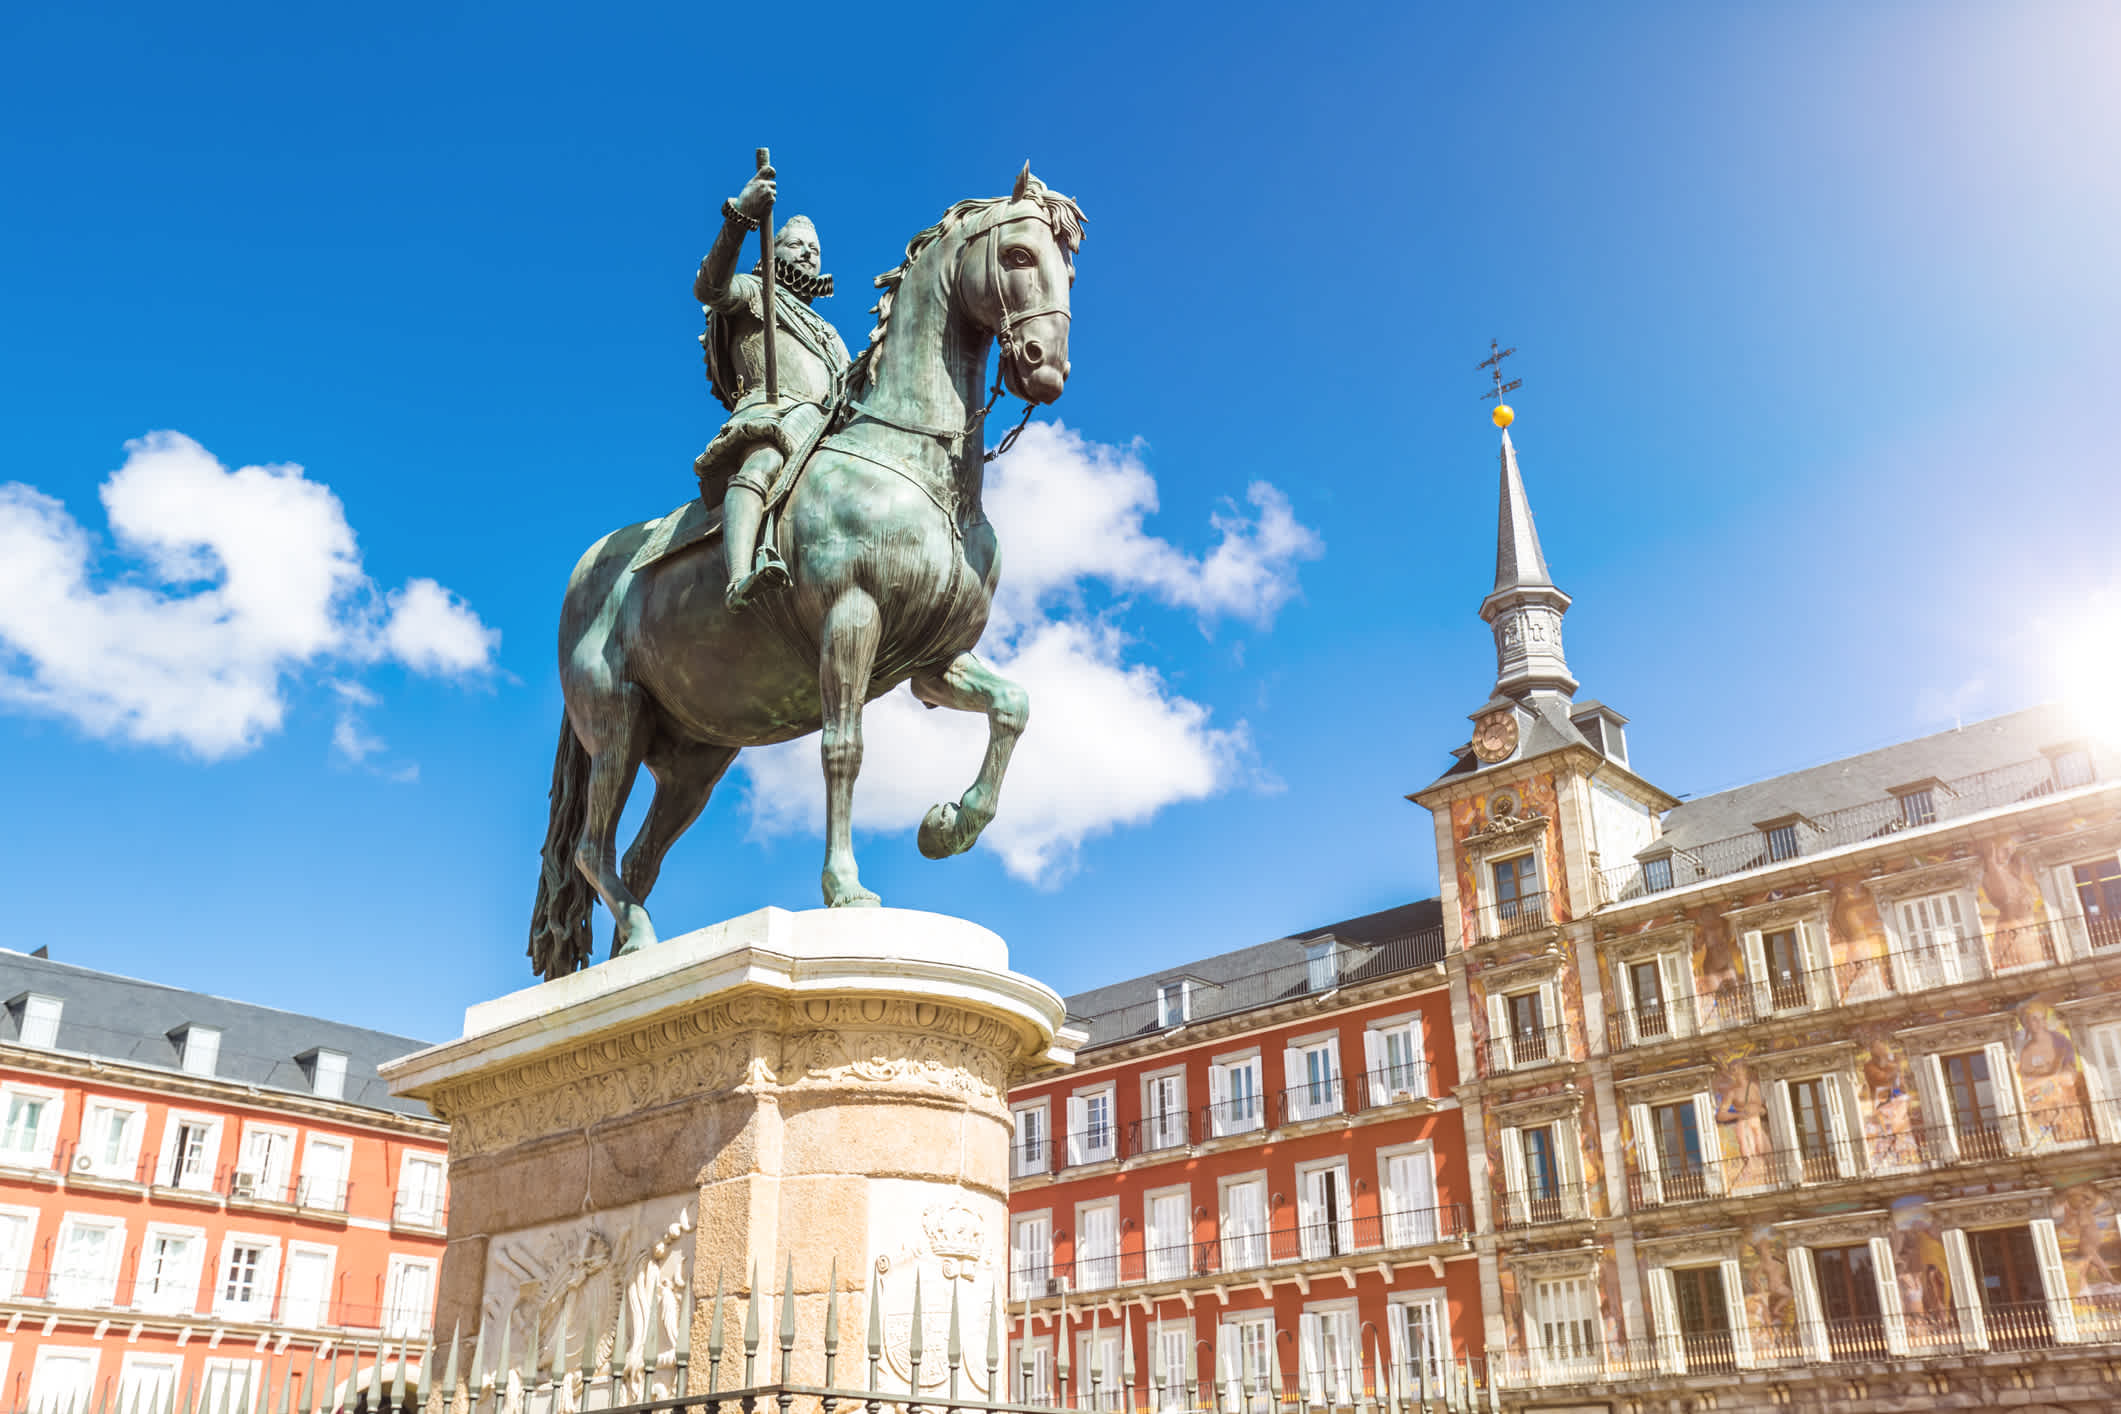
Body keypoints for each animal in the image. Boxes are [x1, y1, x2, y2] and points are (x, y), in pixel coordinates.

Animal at [523, 168, 1085, 983]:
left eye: (1066, 268)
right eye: (1015, 254)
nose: (1046, 364)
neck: (918, 466)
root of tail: (586, 574)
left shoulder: (933, 660)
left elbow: (1013, 707)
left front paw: (948, 825)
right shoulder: (851, 619)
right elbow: (843, 750)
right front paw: (846, 890)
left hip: (695, 759)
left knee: (636, 857)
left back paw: (632, 952)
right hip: (616, 723)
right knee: (593, 849)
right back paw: (643, 945)